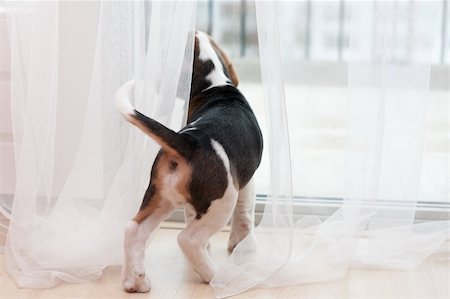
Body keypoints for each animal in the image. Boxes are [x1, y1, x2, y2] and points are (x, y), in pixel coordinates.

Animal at [116, 30, 262, 292]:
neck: (214, 85)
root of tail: (189, 142)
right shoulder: (247, 180)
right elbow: (245, 212)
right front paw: (242, 245)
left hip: (160, 196)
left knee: (134, 229)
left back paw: (135, 280)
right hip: (223, 198)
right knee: (188, 239)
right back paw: (216, 275)